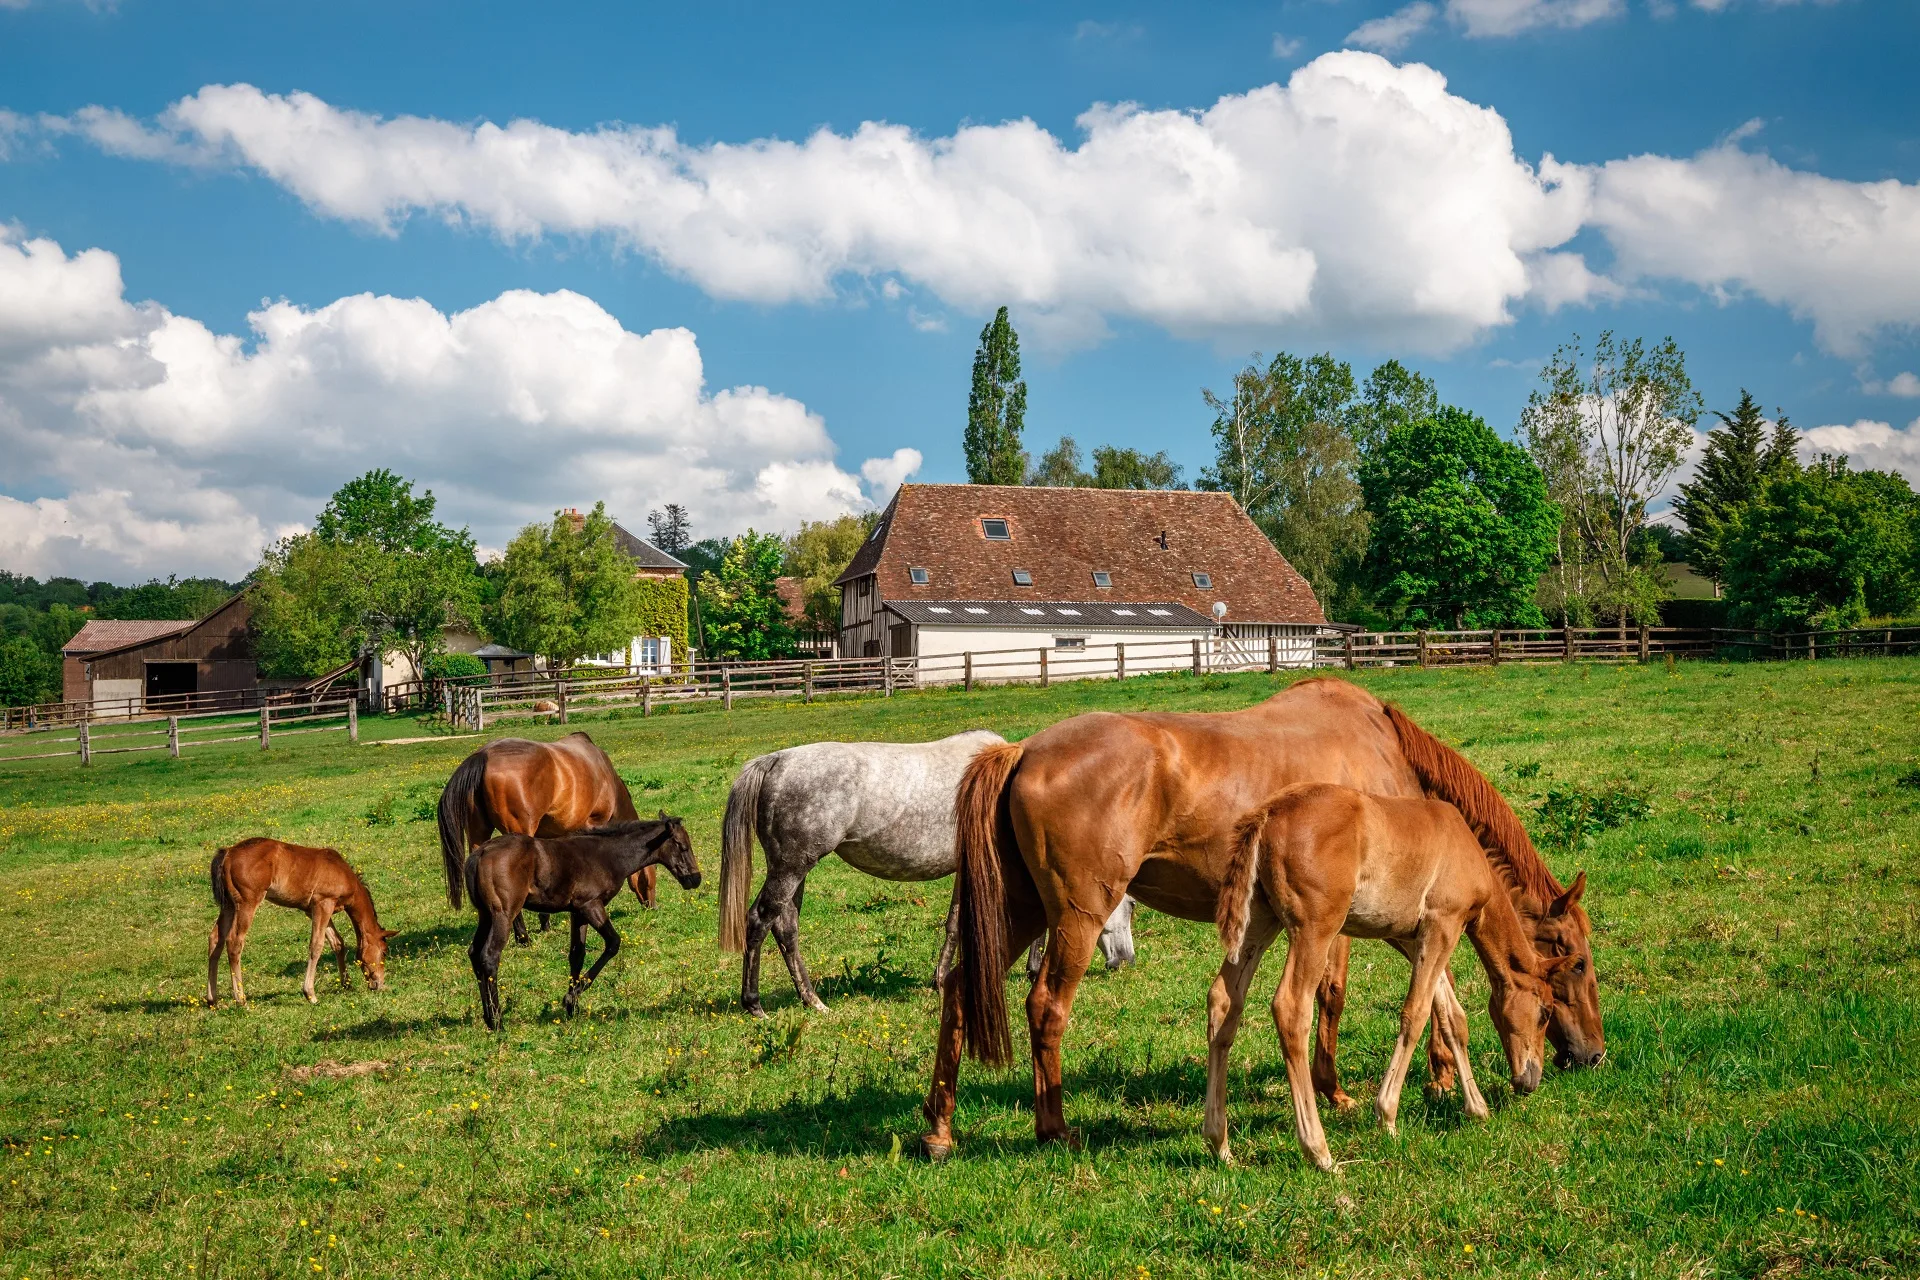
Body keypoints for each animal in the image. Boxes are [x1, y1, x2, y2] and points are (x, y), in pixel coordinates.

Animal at [208, 840, 395, 1013]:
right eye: (384, 952)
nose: (379, 984)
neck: (343, 873)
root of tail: (228, 852)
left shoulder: (315, 910)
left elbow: (337, 943)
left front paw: (346, 984)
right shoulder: (323, 904)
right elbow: (316, 945)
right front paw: (310, 994)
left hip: (228, 906)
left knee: (215, 938)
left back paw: (212, 1000)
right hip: (247, 903)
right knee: (234, 941)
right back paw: (241, 999)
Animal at [435, 729, 652, 940]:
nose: (652, 905)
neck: (605, 774)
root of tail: (483, 755)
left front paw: (545, 920)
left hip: (478, 835)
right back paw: (522, 936)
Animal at [721, 736, 1136, 1013]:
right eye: (1130, 905)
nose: (1124, 960)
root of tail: (775, 761)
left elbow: (958, 923)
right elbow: (960, 923)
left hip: (795, 870)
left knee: (785, 926)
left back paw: (811, 1000)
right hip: (791, 867)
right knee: (759, 920)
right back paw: (754, 1004)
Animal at [1205, 782, 1566, 1174]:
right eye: (1546, 1012)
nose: (1530, 1079)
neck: (1465, 846)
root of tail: (1267, 815)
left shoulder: (1415, 938)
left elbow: (1452, 1017)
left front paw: (1477, 1107)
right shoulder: (1444, 925)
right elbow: (1416, 1013)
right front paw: (1387, 1117)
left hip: (1258, 922)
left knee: (1223, 1001)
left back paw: (1219, 1144)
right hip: (1314, 929)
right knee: (1290, 1008)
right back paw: (1319, 1151)